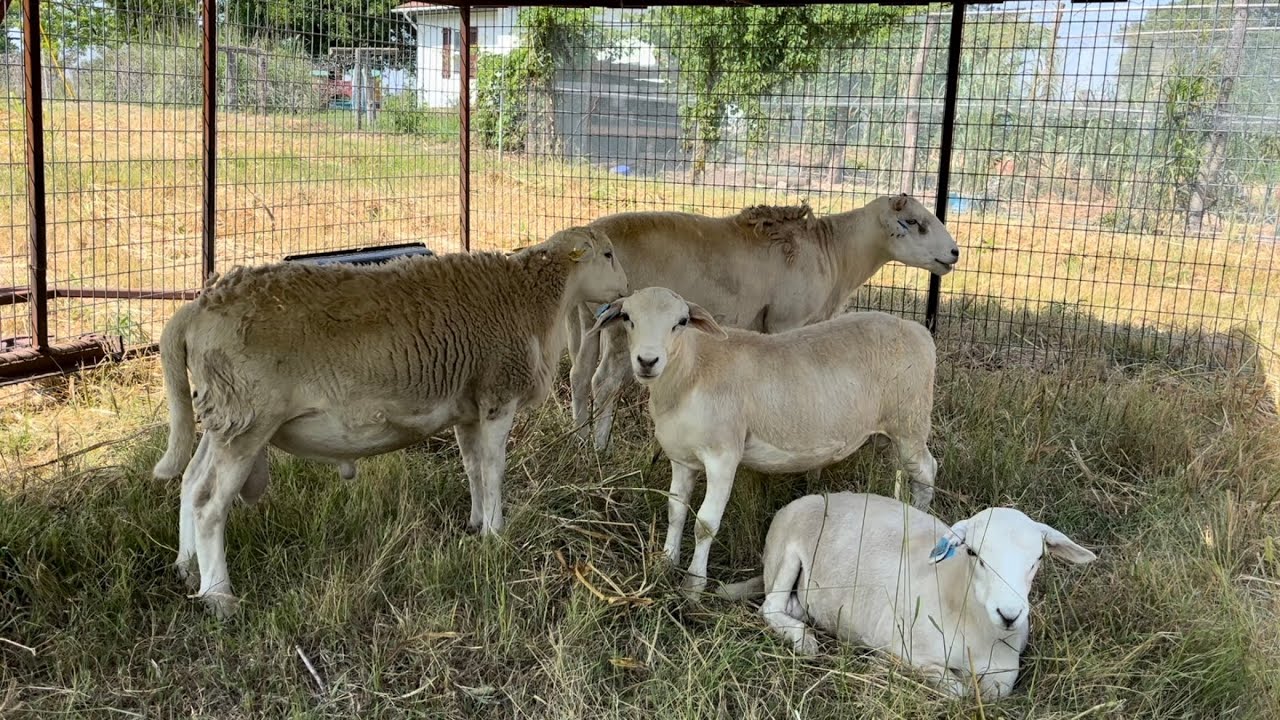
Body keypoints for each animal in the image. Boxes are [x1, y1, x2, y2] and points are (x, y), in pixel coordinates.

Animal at [151, 226, 628, 618]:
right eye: (607, 254)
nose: (626, 288)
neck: (533, 297)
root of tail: (197, 309)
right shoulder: (498, 396)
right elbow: (494, 470)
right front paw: (496, 535)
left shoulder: (468, 407)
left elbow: (473, 468)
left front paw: (476, 525)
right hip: (247, 419)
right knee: (209, 506)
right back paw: (219, 595)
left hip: (225, 416)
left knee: (191, 482)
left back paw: (186, 568)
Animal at [569, 193, 959, 452]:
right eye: (916, 224)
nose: (955, 253)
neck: (835, 252)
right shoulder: (787, 321)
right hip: (622, 327)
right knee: (604, 382)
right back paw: (600, 448)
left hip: (588, 320)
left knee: (579, 375)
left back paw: (578, 438)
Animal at [587, 286, 939, 595]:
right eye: (628, 317)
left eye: (682, 321)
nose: (647, 361)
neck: (690, 372)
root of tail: (919, 330)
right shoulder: (682, 459)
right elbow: (676, 512)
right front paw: (664, 563)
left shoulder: (723, 456)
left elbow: (705, 524)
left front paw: (693, 585)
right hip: (890, 433)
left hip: (910, 422)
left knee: (927, 471)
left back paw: (918, 515)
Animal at [718, 492, 1098, 701]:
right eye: (973, 552)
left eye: (1037, 559)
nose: (1009, 613)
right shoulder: (910, 649)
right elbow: (958, 690)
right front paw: (882, 664)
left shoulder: (1004, 671)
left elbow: (992, 692)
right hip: (787, 553)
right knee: (771, 607)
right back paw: (803, 639)